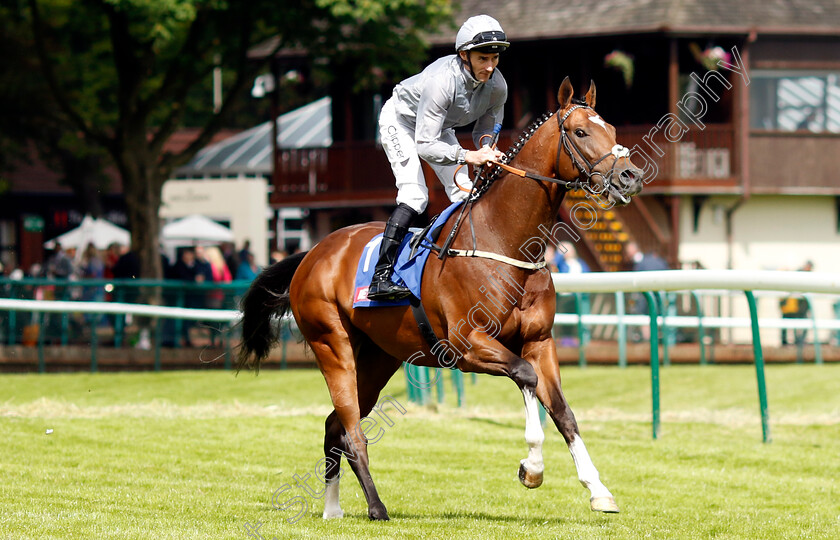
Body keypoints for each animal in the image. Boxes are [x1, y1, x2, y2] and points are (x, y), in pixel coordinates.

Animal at [240, 78, 648, 520]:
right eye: (580, 132)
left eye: (611, 127)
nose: (630, 175)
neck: (505, 241)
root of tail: (312, 253)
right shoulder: (468, 345)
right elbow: (525, 375)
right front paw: (533, 468)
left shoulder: (540, 341)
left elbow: (563, 412)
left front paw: (598, 489)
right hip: (333, 346)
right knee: (352, 431)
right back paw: (376, 506)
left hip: (379, 357)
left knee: (335, 424)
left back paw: (333, 509)